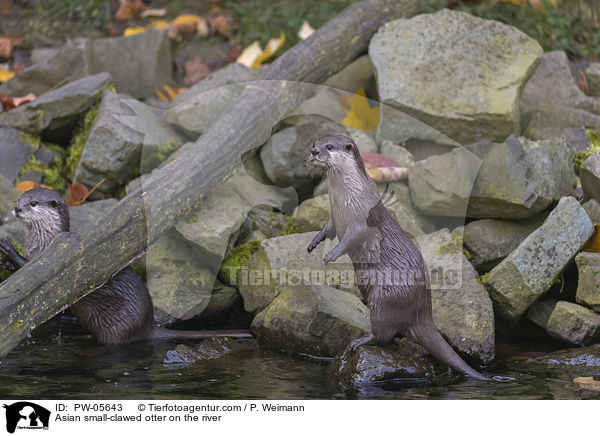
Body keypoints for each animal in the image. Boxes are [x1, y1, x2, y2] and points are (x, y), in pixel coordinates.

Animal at [0, 187, 252, 344]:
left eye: (33, 203)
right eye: (19, 200)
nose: (17, 209)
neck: (41, 242)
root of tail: (148, 326)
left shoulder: (49, 259)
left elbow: (30, 272)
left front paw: (9, 250)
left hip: (118, 326)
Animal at [308, 135, 490, 380]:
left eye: (329, 147)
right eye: (315, 143)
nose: (314, 152)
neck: (345, 198)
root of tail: (422, 312)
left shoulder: (362, 219)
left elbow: (350, 239)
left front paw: (331, 254)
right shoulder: (333, 216)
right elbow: (328, 229)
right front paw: (314, 242)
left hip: (385, 299)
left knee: (382, 335)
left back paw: (360, 341)